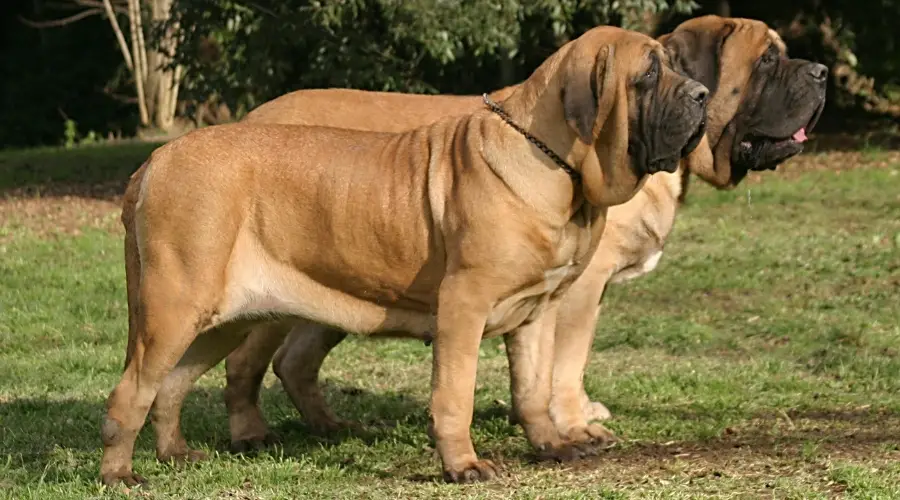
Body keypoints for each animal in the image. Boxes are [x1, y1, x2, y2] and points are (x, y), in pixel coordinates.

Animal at [103, 26, 712, 484]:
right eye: (649, 74)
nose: (703, 94)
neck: (557, 165)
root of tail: (153, 162)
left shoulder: (536, 311)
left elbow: (533, 388)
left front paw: (552, 445)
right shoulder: (464, 307)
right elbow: (455, 393)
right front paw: (464, 465)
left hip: (222, 318)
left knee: (172, 384)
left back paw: (176, 454)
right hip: (173, 310)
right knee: (133, 389)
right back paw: (121, 473)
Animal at [202, 14, 824, 454]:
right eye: (768, 60)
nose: (819, 73)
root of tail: (252, 118)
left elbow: (543, 361)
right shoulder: (581, 286)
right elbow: (566, 359)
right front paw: (573, 423)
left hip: (344, 294)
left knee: (295, 361)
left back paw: (332, 427)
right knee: (246, 362)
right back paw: (252, 434)